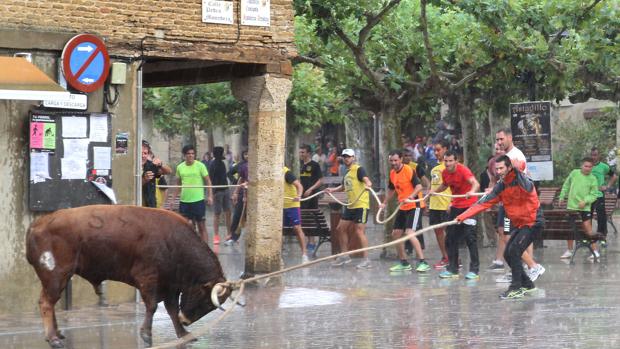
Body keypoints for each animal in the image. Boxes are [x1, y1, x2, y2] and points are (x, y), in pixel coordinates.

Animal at [25, 205, 231, 346]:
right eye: (206, 300)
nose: (185, 320)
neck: (173, 240)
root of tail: (38, 224)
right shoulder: (148, 278)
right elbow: (152, 306)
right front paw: (146, 334)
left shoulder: (170, 286)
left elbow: (171, 309)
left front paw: (183, 333)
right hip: (56, 276)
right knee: (46, 303)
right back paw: (53, 338)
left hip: (58, 278)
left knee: (49, 303)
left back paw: (57, 334)